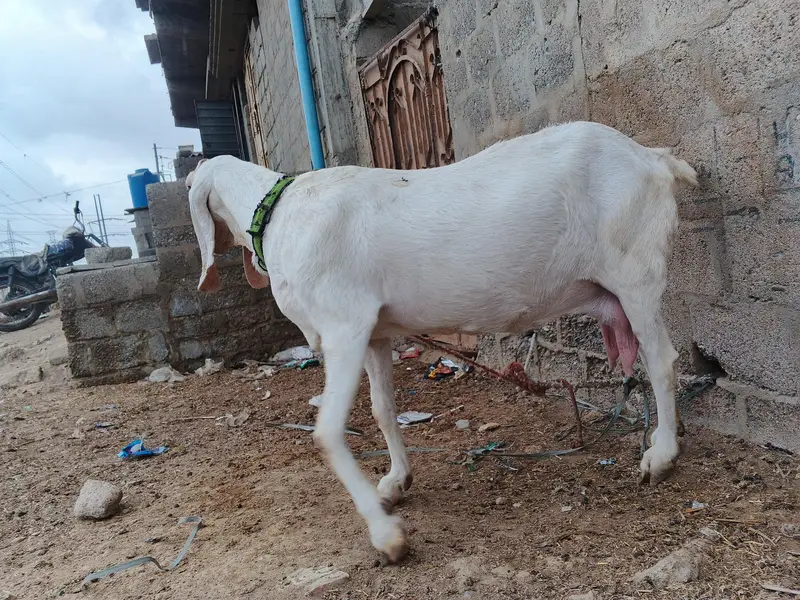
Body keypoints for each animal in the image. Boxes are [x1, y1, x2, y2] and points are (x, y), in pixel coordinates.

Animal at [185, 121, 698, 562]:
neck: (278, 213)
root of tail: (654, 159)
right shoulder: (374, 333)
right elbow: (383, 409)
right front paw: (396, 481)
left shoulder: (344, 324)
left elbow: (328, 432)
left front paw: (387, 536)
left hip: (636, 273)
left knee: (663, 360)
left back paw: (661, 454)